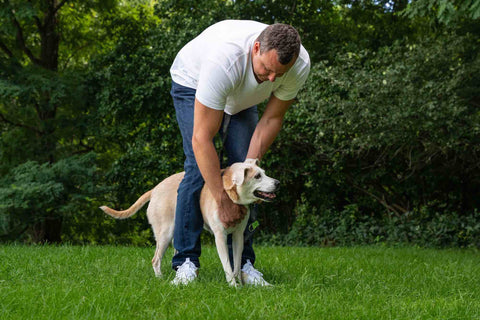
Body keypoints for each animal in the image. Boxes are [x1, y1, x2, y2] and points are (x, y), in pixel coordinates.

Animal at [102, 159, 282, 286]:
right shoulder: (220, 237)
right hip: (165, 234)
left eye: (264, 173)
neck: (230, 197)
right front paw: (233, 286)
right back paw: (160, 279)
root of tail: (155, 189)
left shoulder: (238, 236)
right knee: (155, 259)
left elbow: (236, 265)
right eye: (257, 176)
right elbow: (228, 267)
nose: (278, 183)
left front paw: (241, 285)